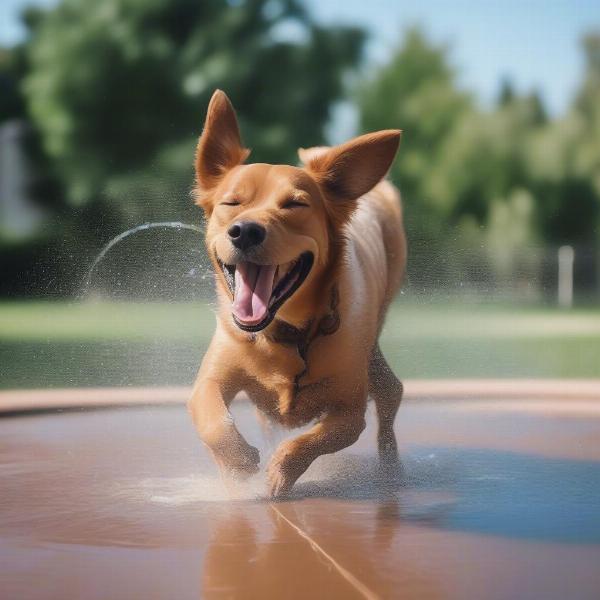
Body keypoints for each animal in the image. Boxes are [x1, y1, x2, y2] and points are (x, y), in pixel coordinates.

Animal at [188, 91, 406, 500]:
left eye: (295, 204)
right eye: (231, 203)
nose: (245, 231)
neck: (286, 332)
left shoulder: (349, 411)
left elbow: (311, 440)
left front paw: (277, 474)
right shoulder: (211, 379)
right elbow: (213, 421)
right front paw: (239, 465)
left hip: (374, 351)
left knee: (391, 396)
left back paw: (391, 470)